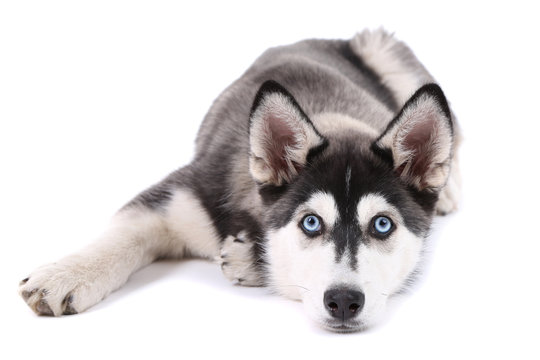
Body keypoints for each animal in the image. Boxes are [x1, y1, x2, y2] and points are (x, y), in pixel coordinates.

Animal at [20, 28, 460, 332]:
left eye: (382, 225)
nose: (343, 302)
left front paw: (253, 258)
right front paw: (65, 274)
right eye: (310, 222)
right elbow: (120, 237)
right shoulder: (178, 198)